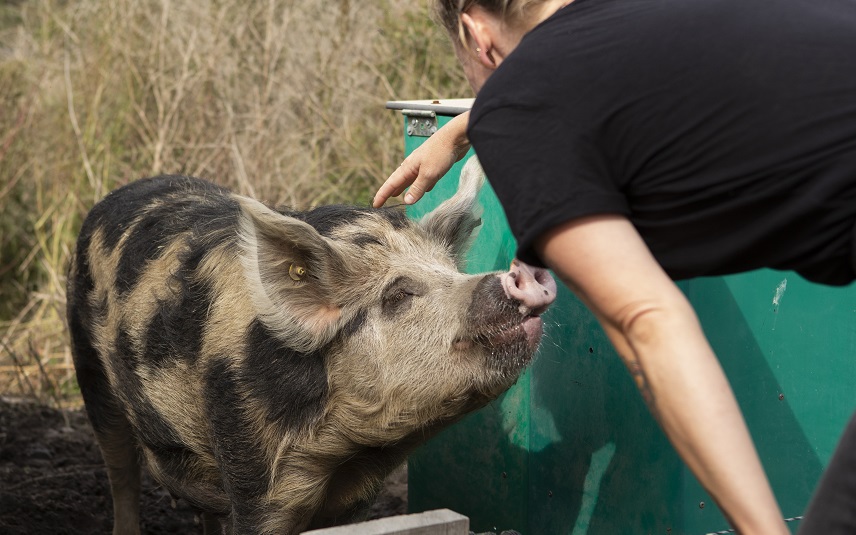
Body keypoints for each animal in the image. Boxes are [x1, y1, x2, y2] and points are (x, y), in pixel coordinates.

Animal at [63, 156, 552, 535]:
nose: (514, 276)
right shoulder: (248, 454)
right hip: (89, 367)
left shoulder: (355, 498)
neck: (342, 453)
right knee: (121, 472)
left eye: (451, 271)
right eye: (397, 294)